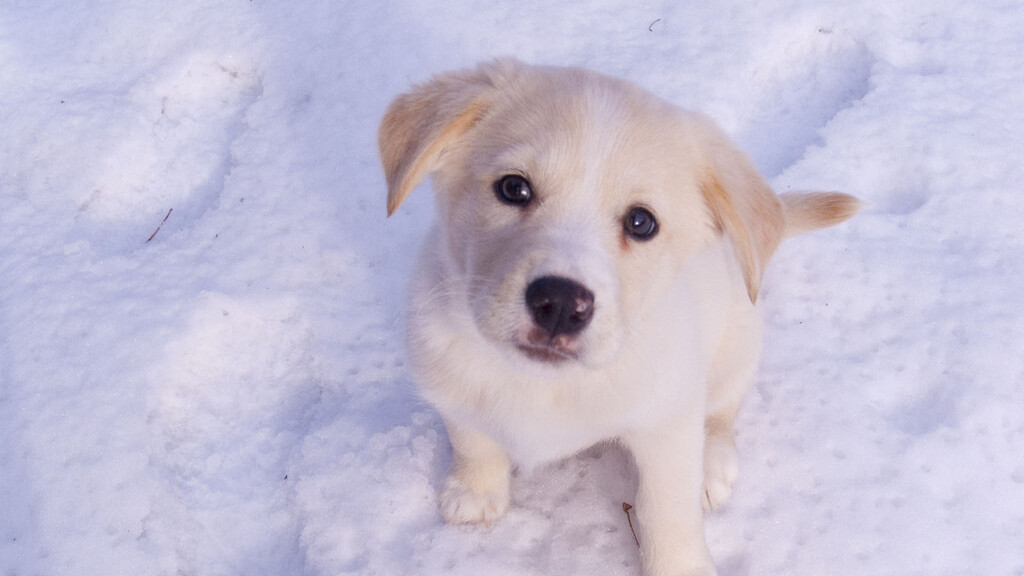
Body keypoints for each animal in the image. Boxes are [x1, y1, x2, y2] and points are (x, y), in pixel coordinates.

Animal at [380, 59, 860, 573]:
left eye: (641, 222)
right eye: (514, 188)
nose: (560, 304)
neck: (546, 386)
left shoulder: (667, 424)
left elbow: (666, 509)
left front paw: (680, 565)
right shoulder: (446, 379)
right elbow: (472, 436)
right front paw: (474, 491)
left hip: (735, 348)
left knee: (721, 412)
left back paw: (711, 465)